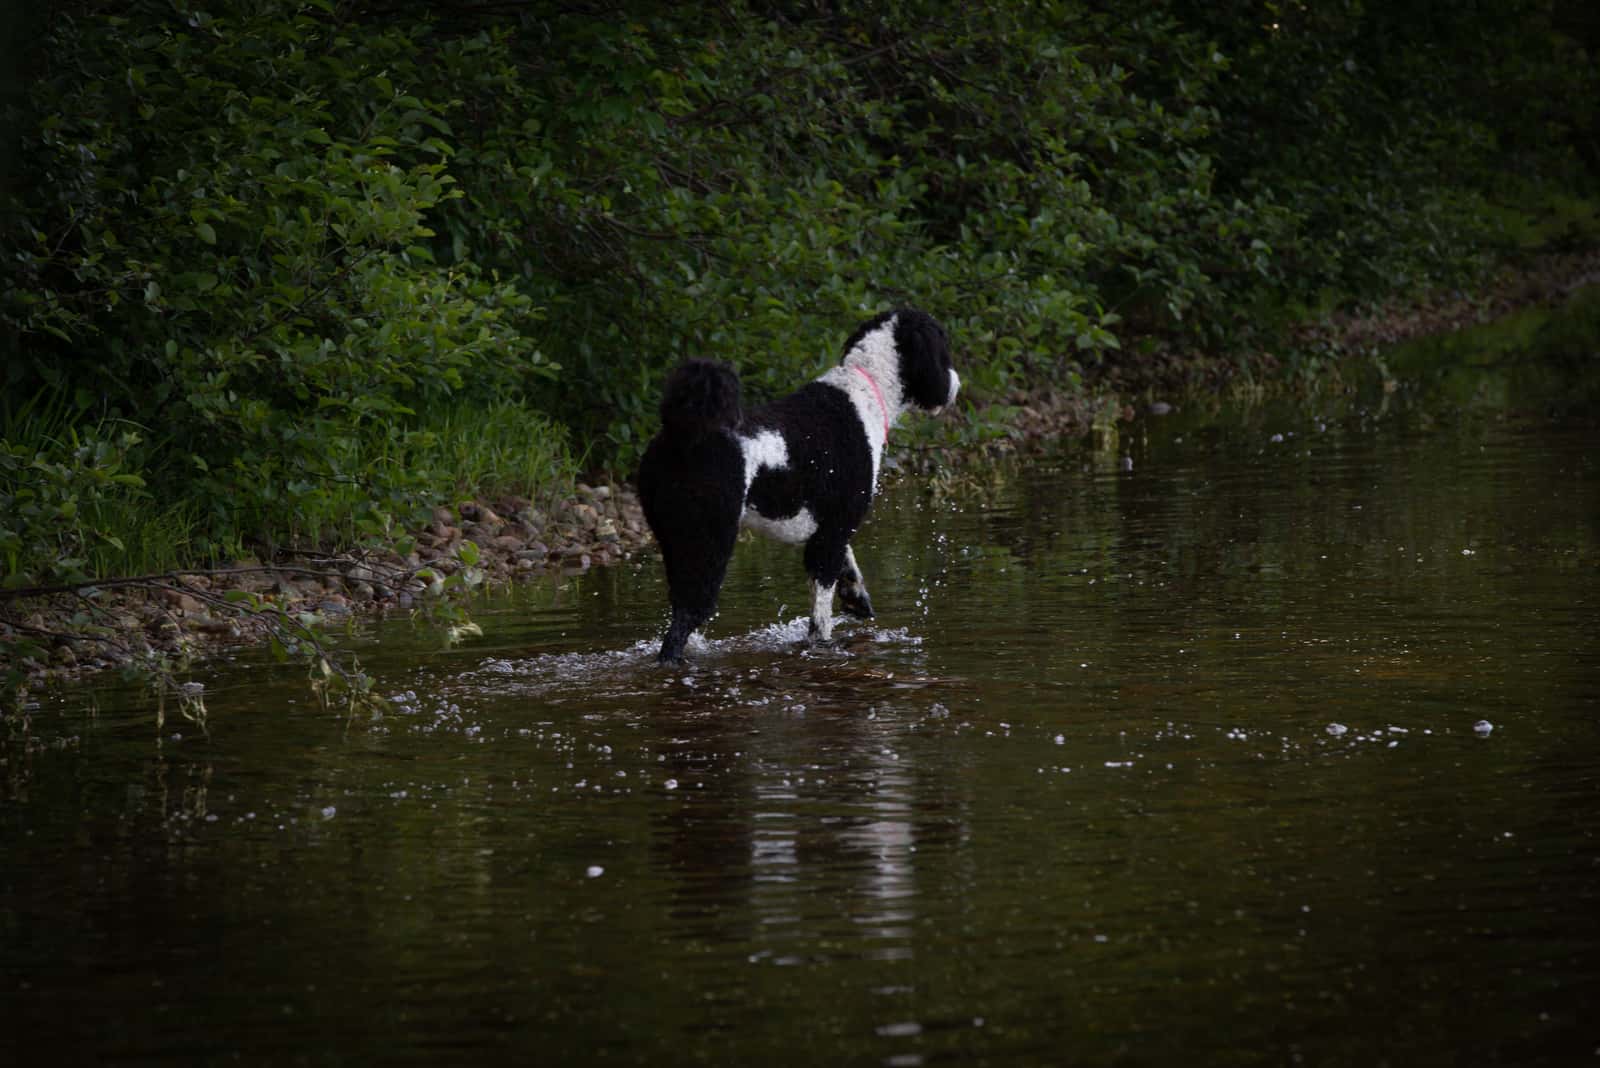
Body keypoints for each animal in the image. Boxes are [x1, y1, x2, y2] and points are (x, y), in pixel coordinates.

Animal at [636, 303, 960, 661]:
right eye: (943, 344)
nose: (956, 384)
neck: (865, 385)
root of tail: (682, 434)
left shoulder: (830, 529)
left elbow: (849, 564)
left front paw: (856, 597)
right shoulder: (829, 538)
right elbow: (820, 618)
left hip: (674, 542)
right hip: (707, 545)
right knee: (682, 625)